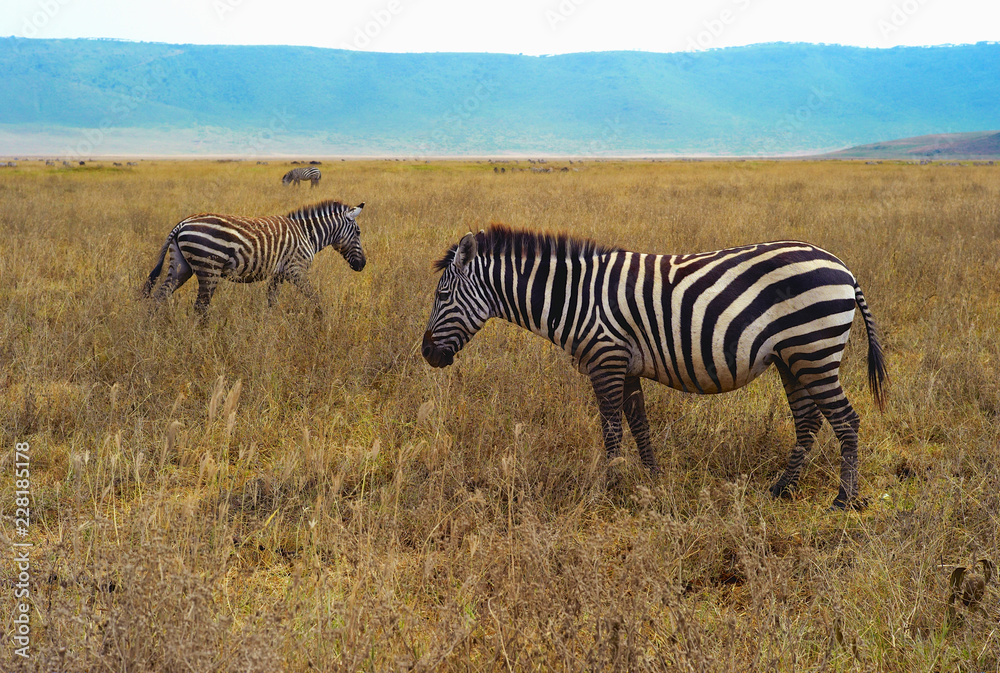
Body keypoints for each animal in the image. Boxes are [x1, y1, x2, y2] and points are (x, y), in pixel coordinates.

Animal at [141, 200, 366, 315]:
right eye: (358, 232)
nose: (362, 265)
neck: (307, 234)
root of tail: (182, 223)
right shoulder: (296, 270)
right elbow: (315, 297)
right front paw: (322, 320)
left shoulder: (279, 273)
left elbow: (271, 301)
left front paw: (268, 326)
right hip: (209, 267)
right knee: (200, 307)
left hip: (181, 266)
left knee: (159, 297)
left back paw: (152, 330)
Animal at [421, 226, 887, 510]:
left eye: (442, 296)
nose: (427, 354)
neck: (572, 298)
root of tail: (843, 268)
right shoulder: (625, 366)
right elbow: (639, 424)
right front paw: (651, 480)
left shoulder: (605, 358)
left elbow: (611, 428)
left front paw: (608, 488)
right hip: (792, 358)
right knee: (808, 420)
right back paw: (782, 488)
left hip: (815, 349)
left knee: (846, 420)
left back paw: (844, 499)